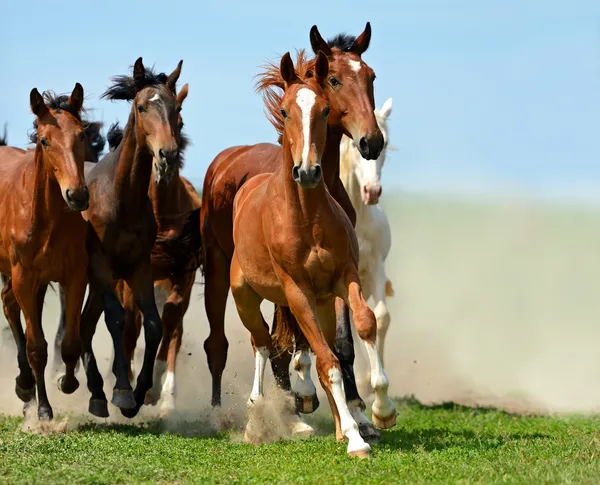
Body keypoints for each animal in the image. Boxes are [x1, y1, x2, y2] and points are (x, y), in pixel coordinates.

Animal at [0, 85, 90, 418]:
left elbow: (71, 342)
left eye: (82, 134)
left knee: (10, 304)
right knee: (12, 311)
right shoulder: (24, 279)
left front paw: (68, 382)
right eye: (44, 140)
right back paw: (26, 385)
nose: (77, 195)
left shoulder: (75, 277)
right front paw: (43, 410)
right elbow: (36, 346)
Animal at [78, 58, 184, 418]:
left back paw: (97, 392)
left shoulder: (139, 267)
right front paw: (123, 390)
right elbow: (117, 320)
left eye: (176, 108)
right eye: (141, 107)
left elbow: (153, 325)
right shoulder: (100, 264)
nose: (167, 154)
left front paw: (139, 393)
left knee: (84, 324)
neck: (121, 197)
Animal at [202, 21, 390, 438]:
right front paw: (307, 397)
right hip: (220, 269)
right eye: (334, 79)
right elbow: (296, 339)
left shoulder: (339, 272)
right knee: (219, 343)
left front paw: (361, 412)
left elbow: (342, 339)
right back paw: (226, 411)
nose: (371, 140)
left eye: (371, 76)